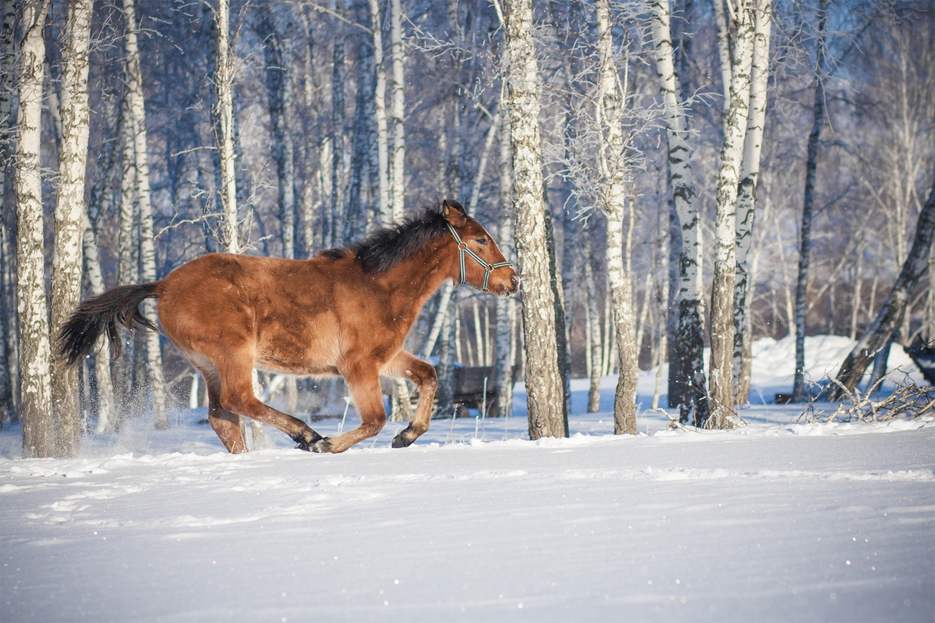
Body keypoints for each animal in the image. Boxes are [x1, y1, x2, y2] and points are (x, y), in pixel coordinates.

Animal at [58, 202, 520, 456]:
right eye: (481, 240)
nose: (512, 279)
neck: (378, 286)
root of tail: (165, 284)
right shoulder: (358, 366)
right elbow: (375, 419)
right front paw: (330, 444)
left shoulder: (386, 358)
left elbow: (429, 375)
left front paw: (408, 436)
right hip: (233, 352)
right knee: (241, 401)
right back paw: (306, 434)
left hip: (207, 363)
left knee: (222, 416)